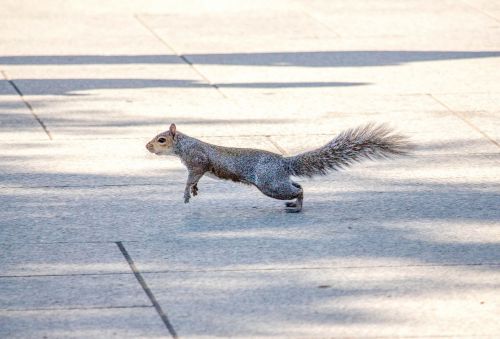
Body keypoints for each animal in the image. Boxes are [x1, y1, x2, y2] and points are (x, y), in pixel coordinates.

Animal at [145, 122, 410, 212]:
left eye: (162, 140)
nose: (147, 146)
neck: (184, 145)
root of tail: (285, 162)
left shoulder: (197, 161)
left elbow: (192, 177)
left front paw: (186, 193)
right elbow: (195, 180)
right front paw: (195, 190)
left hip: (270, 184)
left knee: (299, 189)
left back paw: (297, 205)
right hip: (277, 181)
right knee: (297, 184)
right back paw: (295, 204)